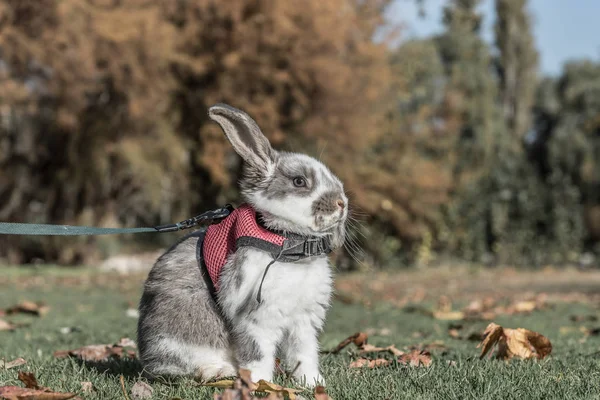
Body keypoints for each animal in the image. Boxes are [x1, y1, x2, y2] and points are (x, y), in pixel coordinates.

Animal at [137, 103, 350, 388]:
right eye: (299, 182)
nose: (341, 203)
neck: (287, 242)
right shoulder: (254, 317)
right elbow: (256, 352)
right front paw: (260, 383)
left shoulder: (304, 320)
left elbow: (304, 354)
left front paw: (312, 383)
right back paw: (220, 372)